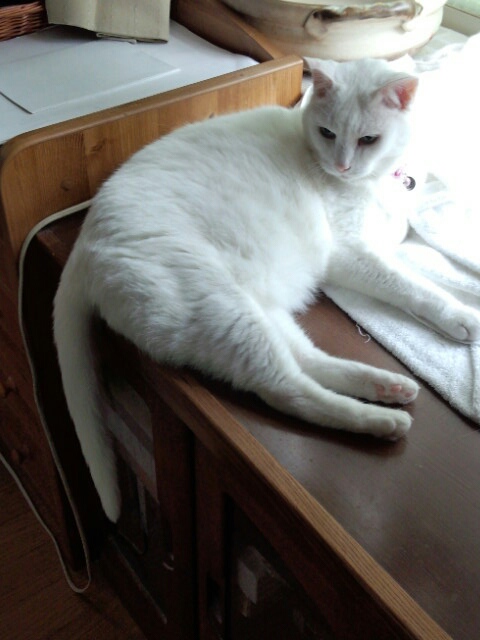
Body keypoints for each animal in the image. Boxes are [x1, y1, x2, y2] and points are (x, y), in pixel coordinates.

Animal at [53, 57, 480, 522]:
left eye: (368, 139)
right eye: (327, 133)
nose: (343, 166)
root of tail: (84, 243)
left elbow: (402, 241)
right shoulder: (349, 253)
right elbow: (410, 284)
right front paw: (460, 315)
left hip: (256, 313)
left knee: (309, 362)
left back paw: (387, 387)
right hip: (224, 312)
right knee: (290, 391)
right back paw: (381, 421)